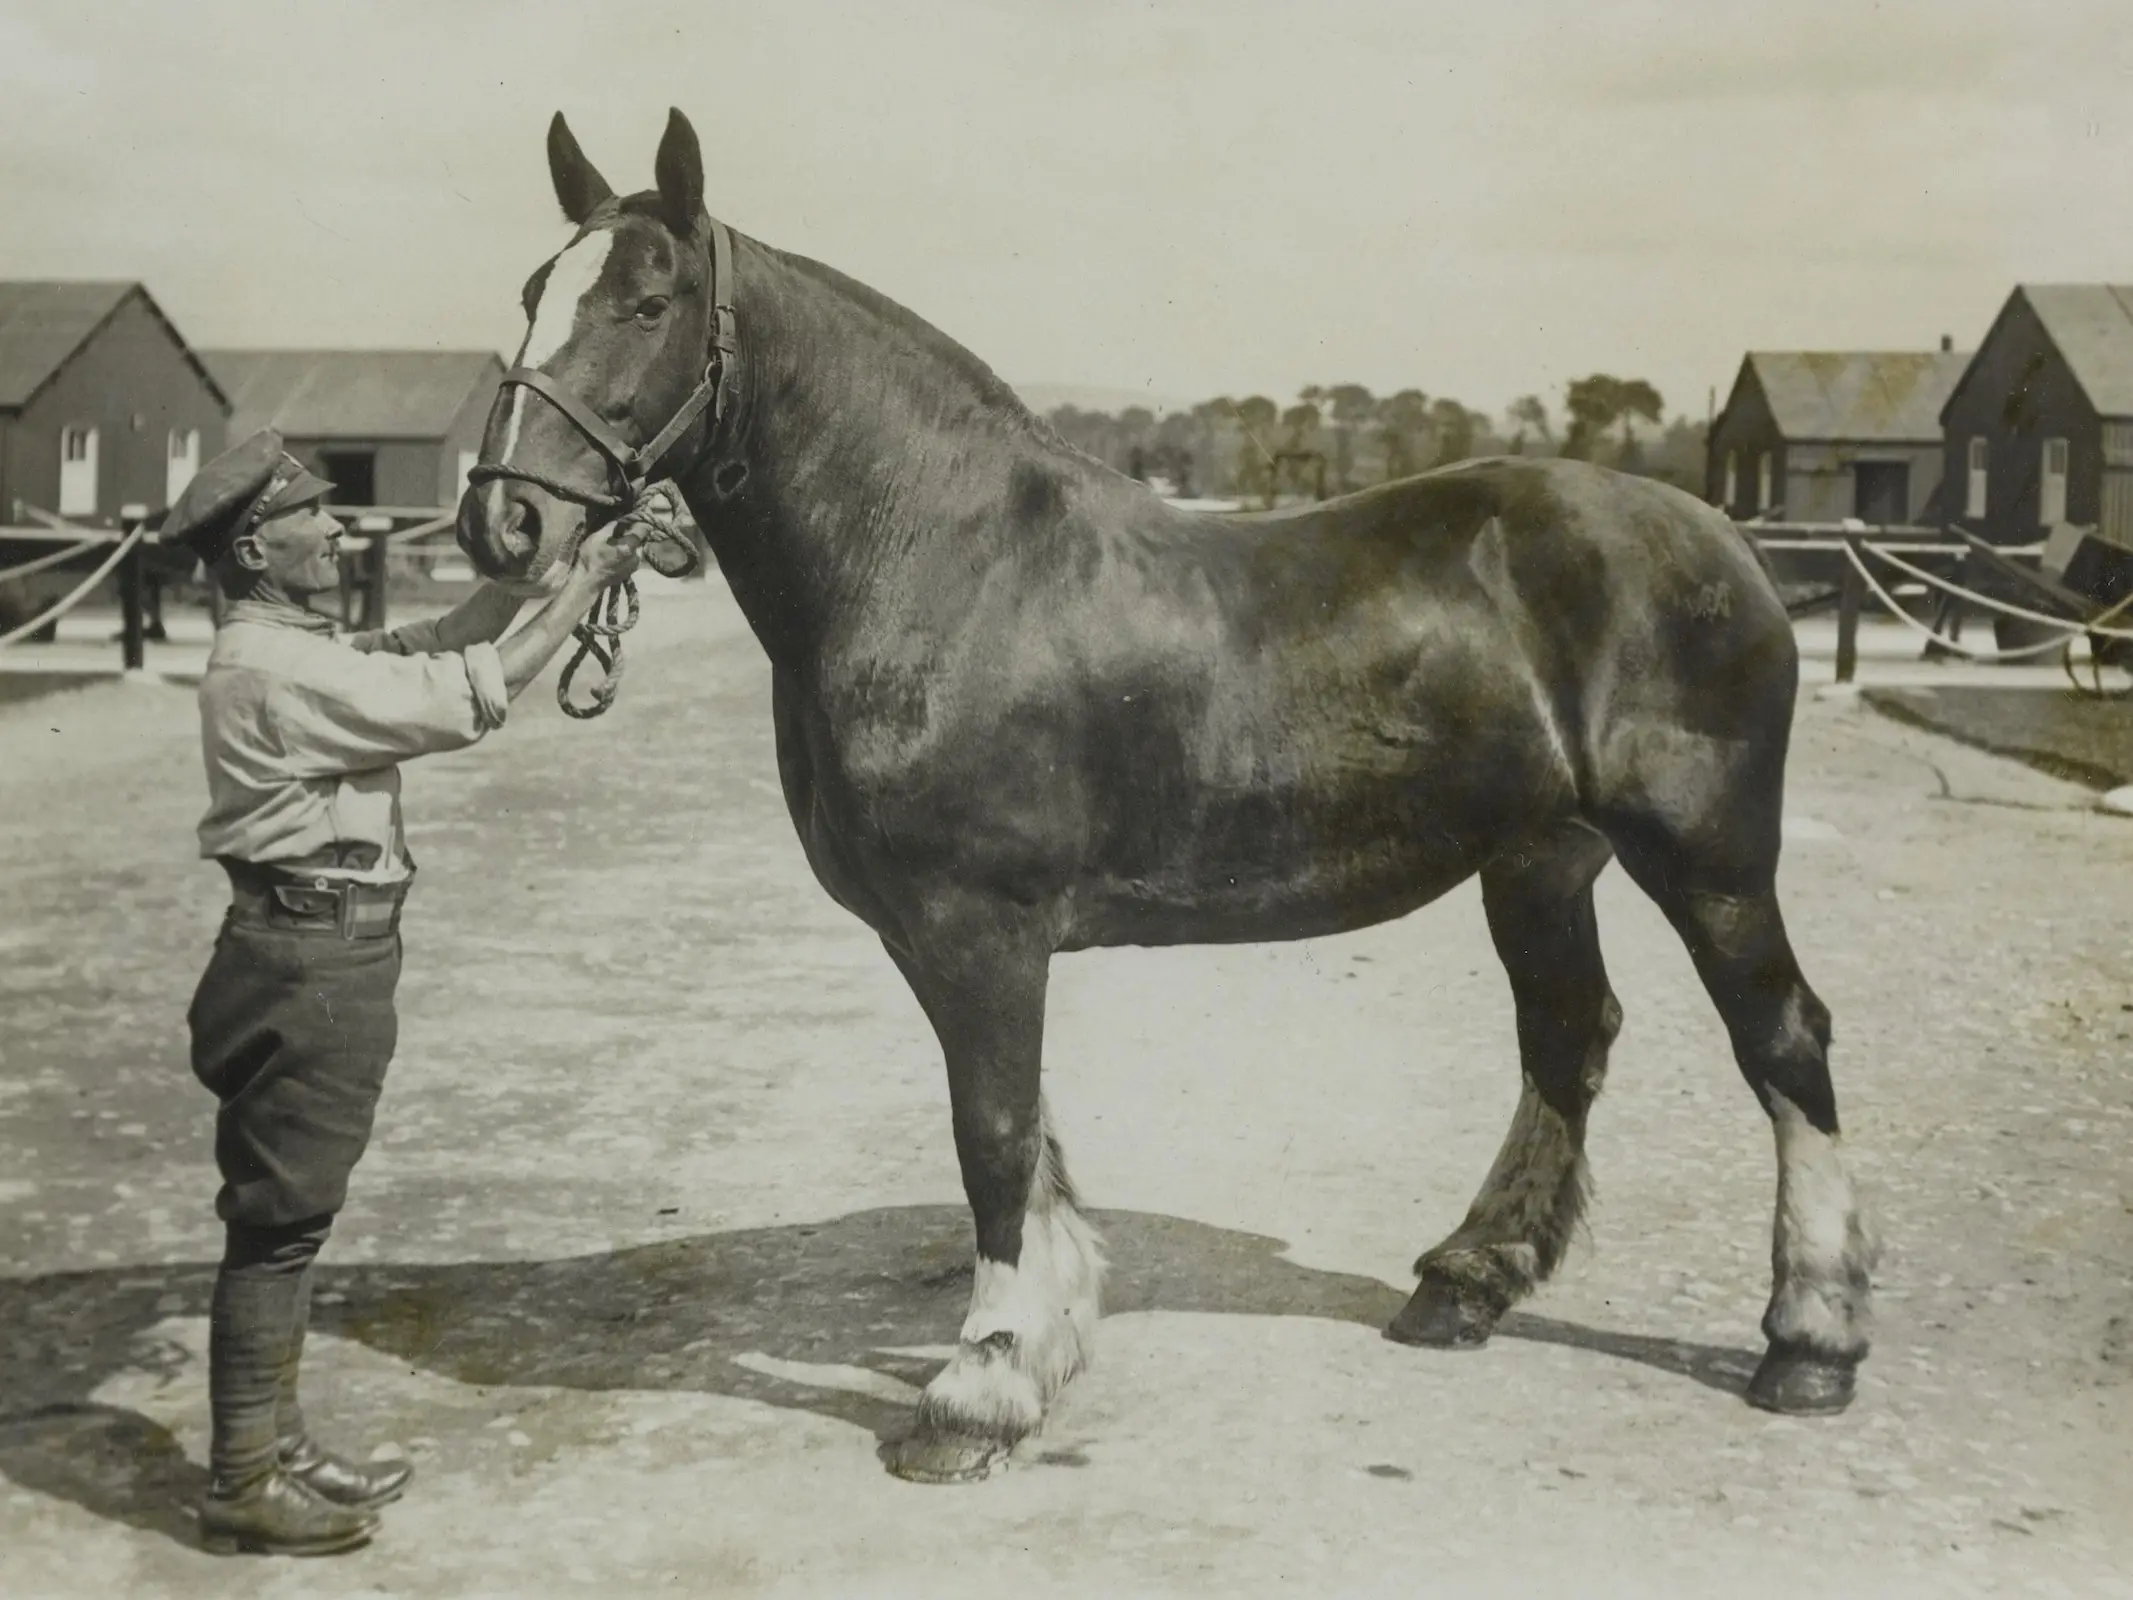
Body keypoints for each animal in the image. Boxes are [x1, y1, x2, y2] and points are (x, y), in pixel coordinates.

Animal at [458, 109, 1877, 1493]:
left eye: (650, 301)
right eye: (532, 292)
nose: (503, 524)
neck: (941, 563)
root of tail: (1727, 540)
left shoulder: (981, 926)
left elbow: (991, 1129)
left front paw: (976, 1391)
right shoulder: (932, 937)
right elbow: (1024, 1133)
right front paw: (1039, 1345)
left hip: (1707, 856)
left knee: (1782, 1041)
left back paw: (1809, 1341)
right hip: (1541, 859)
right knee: (1567, 1037)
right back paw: (1465, 1282)